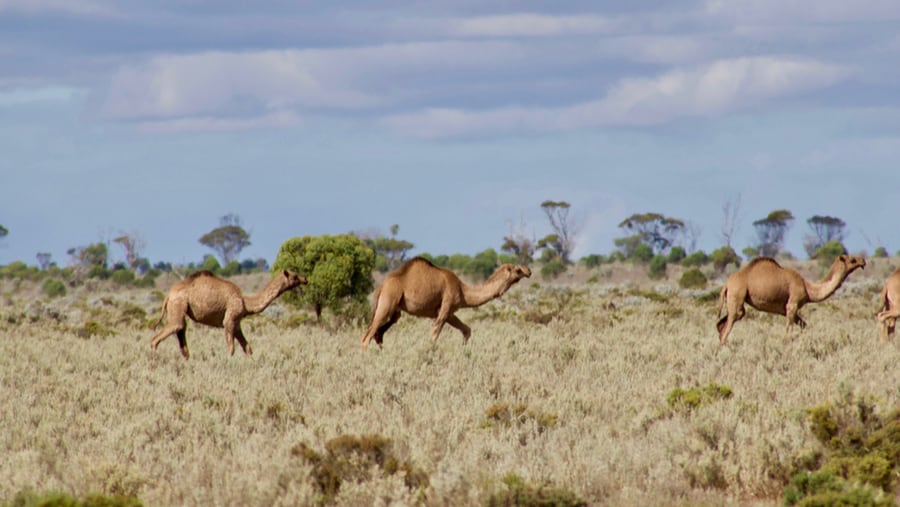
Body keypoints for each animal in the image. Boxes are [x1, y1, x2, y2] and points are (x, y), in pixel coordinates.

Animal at [149, 272, 308, 360]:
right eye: (294, 276)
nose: (305, 278)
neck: (245, 301)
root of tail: (168, 296)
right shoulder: (229, 319)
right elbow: (231, 348)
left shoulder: (237, 324)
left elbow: (248, 348)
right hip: (178, 305)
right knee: (156, 338)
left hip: (180, 309)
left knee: (182, 336)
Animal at [358, 256, 532, 352]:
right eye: (517, 270)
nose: (529, 270)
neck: (463, 290)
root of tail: (381, 287)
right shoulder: (446, 307)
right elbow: (434, 336)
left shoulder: (449, 312)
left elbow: (467, 330)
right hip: (388, 302)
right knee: (367, 336)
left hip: (395, 312)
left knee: (378, 334)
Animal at [716, 254, 864, 346]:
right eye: (852, 260)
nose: (863, 260)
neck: (808, 288)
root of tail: (726, 284)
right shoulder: (792, 304)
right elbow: (788, 331)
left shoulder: (786, 309)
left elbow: (804, 325)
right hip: (737, 294)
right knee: (727, 327)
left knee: (720, 325)